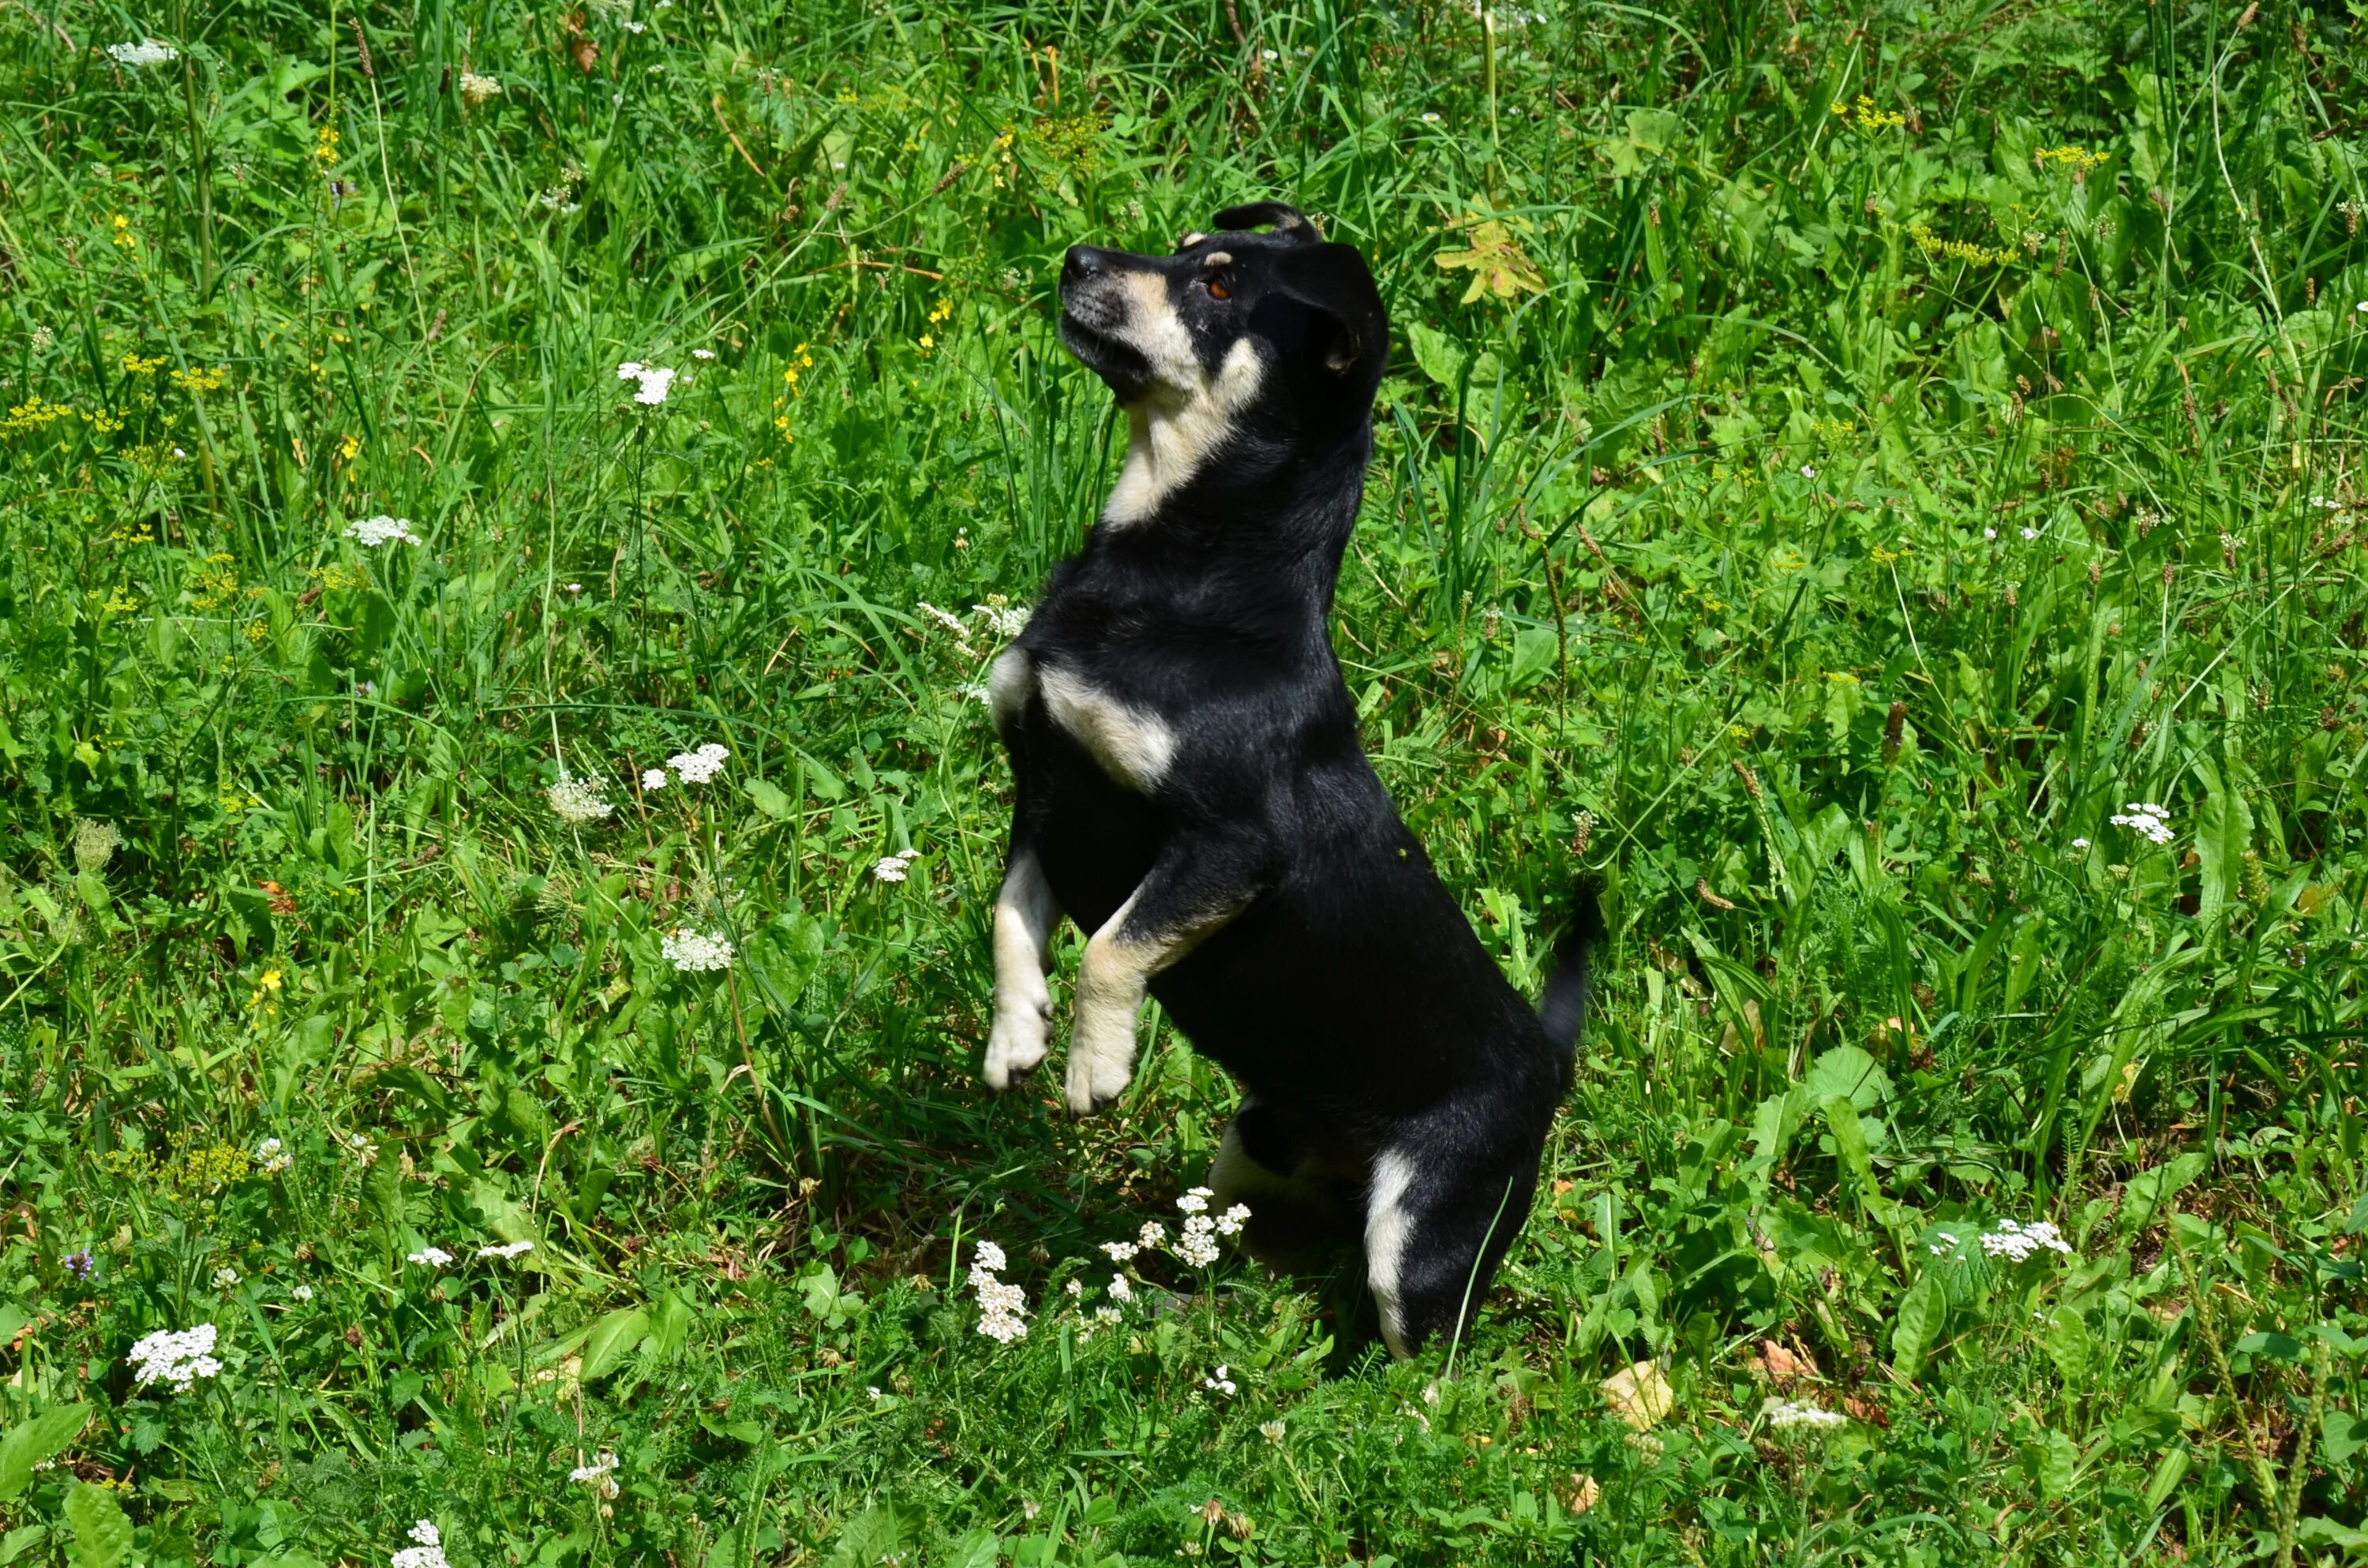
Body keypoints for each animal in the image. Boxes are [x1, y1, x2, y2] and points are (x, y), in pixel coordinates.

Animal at [971, 202, 1601, 1354]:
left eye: (1218, 287)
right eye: (1182, 250)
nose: (1077, 259)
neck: (1193, 579)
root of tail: (1546, 1059)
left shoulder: (1226, 846)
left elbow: (1114, 949)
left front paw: (1094, 1061)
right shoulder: (1044, 793)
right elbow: (1008, 921)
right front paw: (1018, 1031)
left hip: (1424, 1229)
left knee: (1423, 1353)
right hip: (1259, 1143)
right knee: (1241, 1265)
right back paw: (1169, 1309)